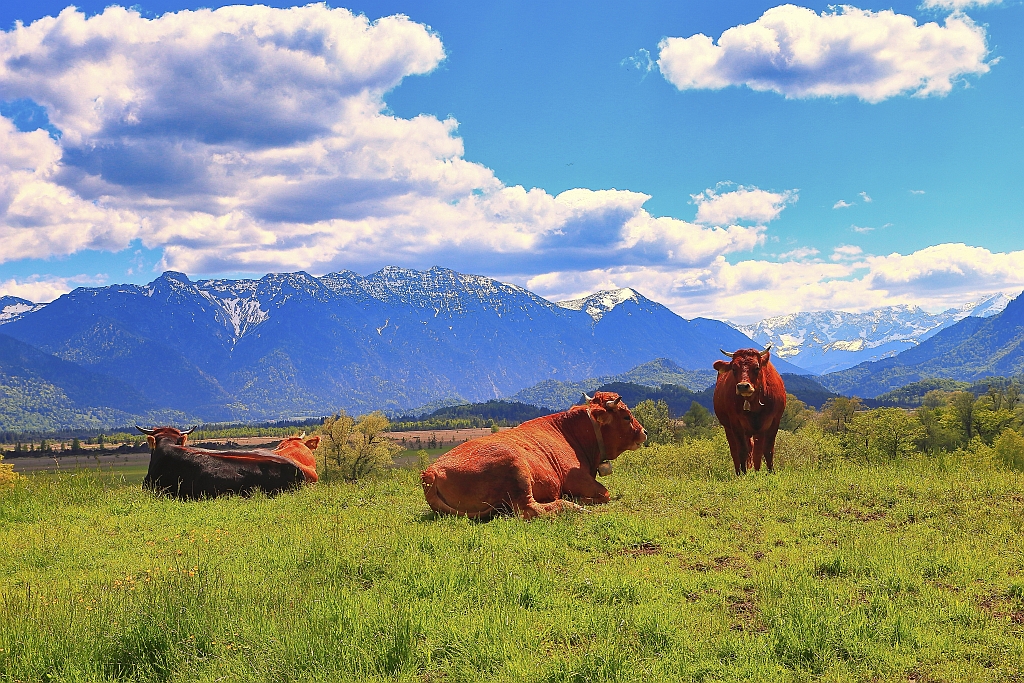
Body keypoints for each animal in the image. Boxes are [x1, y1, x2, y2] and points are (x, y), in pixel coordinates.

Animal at [417, 389, 643, 518]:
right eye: (626, 416)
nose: (644, 432)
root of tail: (431, 471)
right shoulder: (577, 478)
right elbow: (605, 493)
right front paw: (581, 499)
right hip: (517, 470)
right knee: (531, 509)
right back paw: (572, 505)